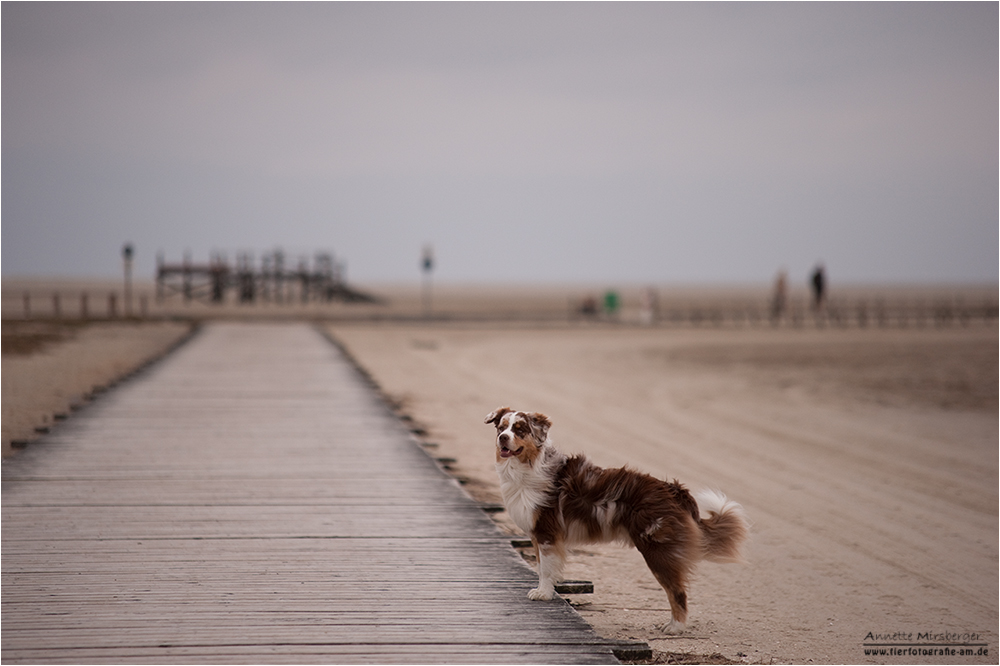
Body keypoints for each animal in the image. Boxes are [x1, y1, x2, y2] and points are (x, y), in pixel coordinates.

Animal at [484, 404, 752, 632]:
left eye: (520, 430)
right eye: (501, 427)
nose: (502, 438)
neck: (528, 466)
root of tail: (673, 490)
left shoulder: (546, 532)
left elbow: (546, 568)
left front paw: (543, 593)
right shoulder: (538, 534)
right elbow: (541, 565)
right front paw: (547, 591)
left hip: (657, 550)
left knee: (677, 591)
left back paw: (675, 627)